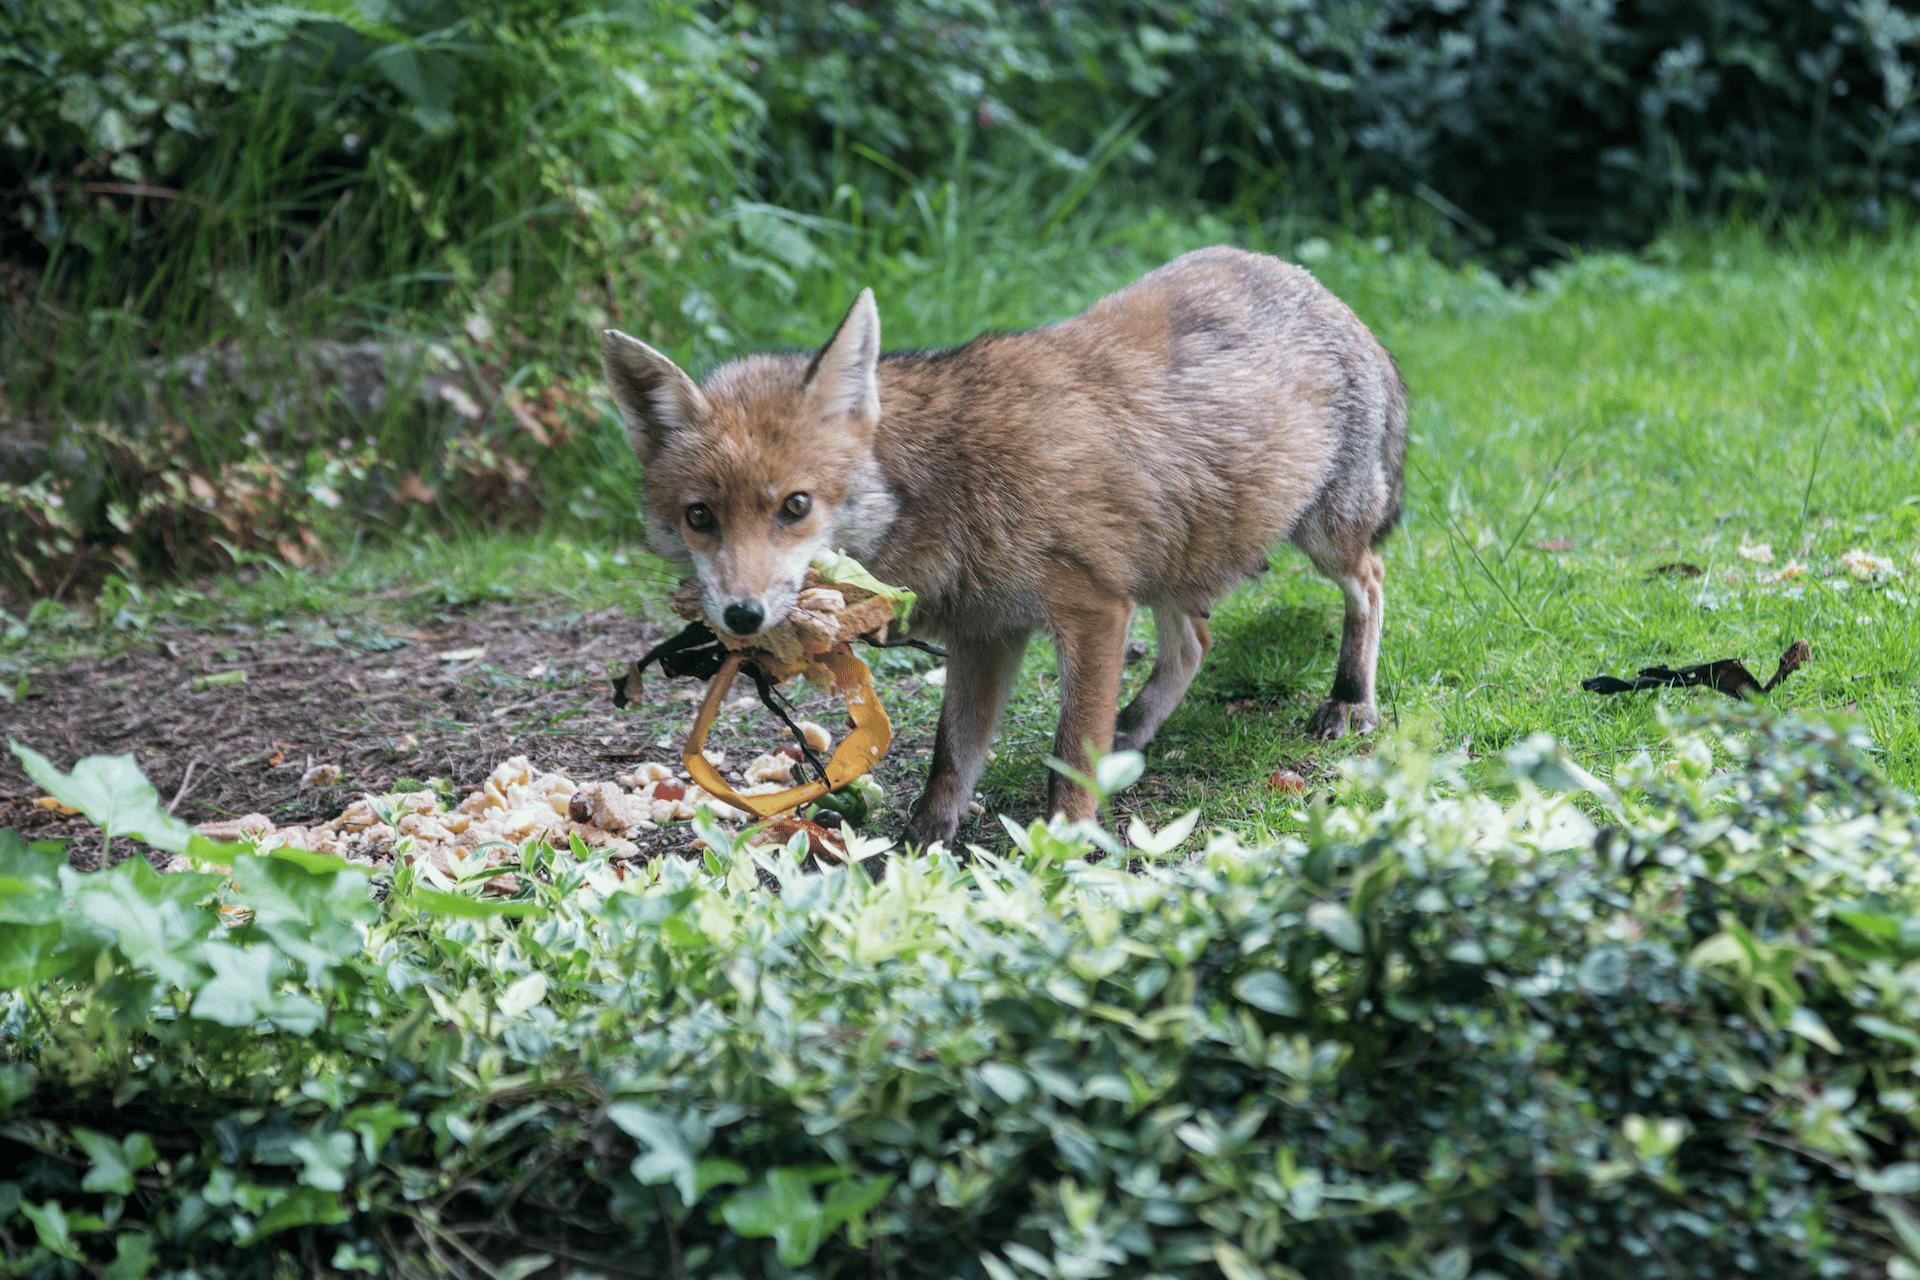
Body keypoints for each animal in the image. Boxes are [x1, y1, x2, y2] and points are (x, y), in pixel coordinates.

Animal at [602, 245, 1407, 848]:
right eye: (700, 517)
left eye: (794, 507)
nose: (740, 617)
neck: (950, 479)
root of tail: (1312, 282)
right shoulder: (985, 628)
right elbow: (952, 754)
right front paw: (924, 838)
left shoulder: (1092, 607)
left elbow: (1071, 749)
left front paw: (1067, 841)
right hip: (1165, 558)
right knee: (1195, 644)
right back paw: (1135, 730)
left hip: (1322, 535)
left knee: (1370, 579)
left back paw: (1350, 698)